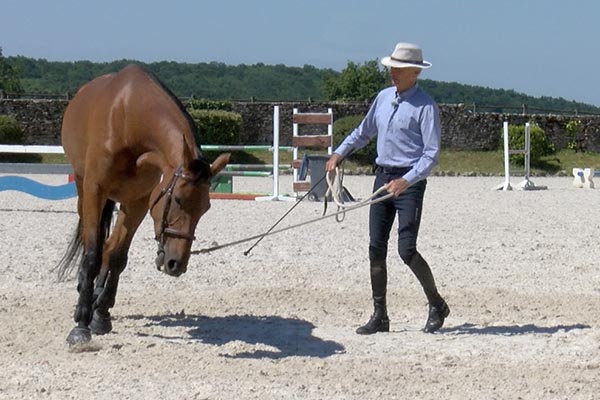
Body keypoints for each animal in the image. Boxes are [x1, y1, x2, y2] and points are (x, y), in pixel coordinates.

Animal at [57, 64, 230, 346]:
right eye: (178, 200)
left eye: (205, 209)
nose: (176, 264)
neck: (127, 120)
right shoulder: (95, 191)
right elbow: (92, 255)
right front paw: (81, 325)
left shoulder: (138, 201)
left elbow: (117, 257)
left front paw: (101, 316)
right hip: (84, 189)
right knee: (91, 245)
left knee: (109, 247)